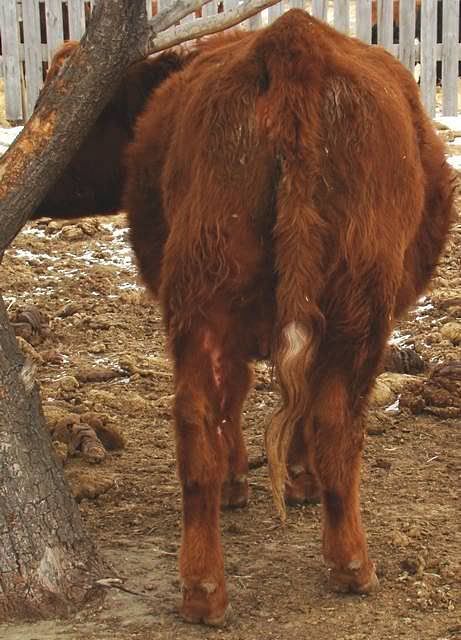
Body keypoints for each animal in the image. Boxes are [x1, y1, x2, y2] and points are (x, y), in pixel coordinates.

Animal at [124, 9, 454, 625]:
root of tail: (294, 42)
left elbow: (242, 395)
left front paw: (243, 483)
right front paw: (301, 482)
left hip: (201, 295)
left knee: (196, 421)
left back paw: (203, 588)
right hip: (358, 310)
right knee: (336, 420)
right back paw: (351, 563)